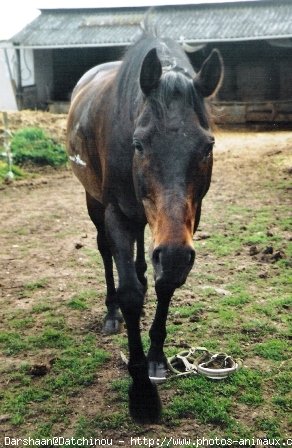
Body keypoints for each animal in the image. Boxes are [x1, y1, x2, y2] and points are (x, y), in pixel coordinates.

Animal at [66, 30, 221, 424]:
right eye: (138, 143)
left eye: (208, 145)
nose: (175, 255)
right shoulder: (117, 215)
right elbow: (130, 293)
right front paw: (141, 394)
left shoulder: (187, 223)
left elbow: (163, 282)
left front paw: (156, 359)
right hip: (94, 203)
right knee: (106, 253)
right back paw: (111, 315)